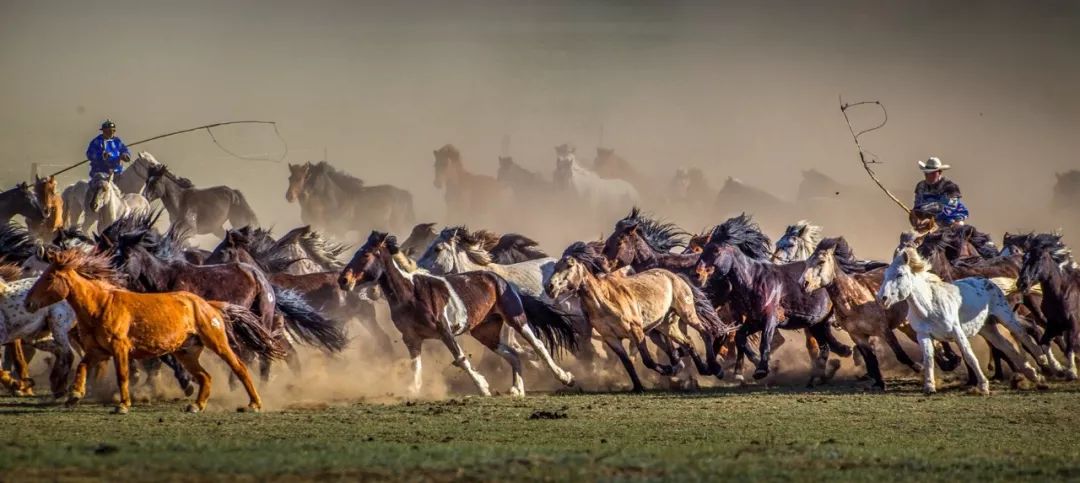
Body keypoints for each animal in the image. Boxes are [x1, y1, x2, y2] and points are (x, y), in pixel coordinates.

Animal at [24, 251, 282, 414]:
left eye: (49, 276)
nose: (28, 303)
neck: (100, 304)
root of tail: (209, 305)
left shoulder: (120, 348)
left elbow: (123, 375)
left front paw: (123, 405)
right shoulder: (98, 351)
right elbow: (82, 366)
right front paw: (75, 395)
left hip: (217, 343)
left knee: (239, 367)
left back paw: (254, 404)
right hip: (186, 353)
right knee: (204, 377)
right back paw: (196, 406)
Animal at [285, 162, 414, 238]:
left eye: (304, 178)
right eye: (289, 178)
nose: (289, 196)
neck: (336, 203)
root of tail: (403, 193)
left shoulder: (339, 232)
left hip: (397, 225)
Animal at [548, 242, 725, 393]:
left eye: (570, 265)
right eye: (556, 266)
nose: (550, 287)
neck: (604, 302)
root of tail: (676, 277)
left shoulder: (636, 331)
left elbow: (647, 360)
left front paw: (668, 369)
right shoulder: (611, 338)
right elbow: (627, 362)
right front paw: (638, 387)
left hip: (686, 314)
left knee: (705, 333)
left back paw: (716, 369)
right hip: (667, 326)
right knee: (688, 342)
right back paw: (703, 369)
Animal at [876, 249, 1045, 397]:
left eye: (899, 274)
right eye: (885, 275)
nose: (882, 298)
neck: (929, 307)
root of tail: (988, 281)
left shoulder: (957, 332)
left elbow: (969, 356)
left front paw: (983, 386)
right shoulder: (923, 335)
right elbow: (929, 358)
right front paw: (929, 387)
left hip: (1005, 316)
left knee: (1021, 334)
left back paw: (1043, 362)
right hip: (988, 328)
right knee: (1006, 346)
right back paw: (1032, 374)